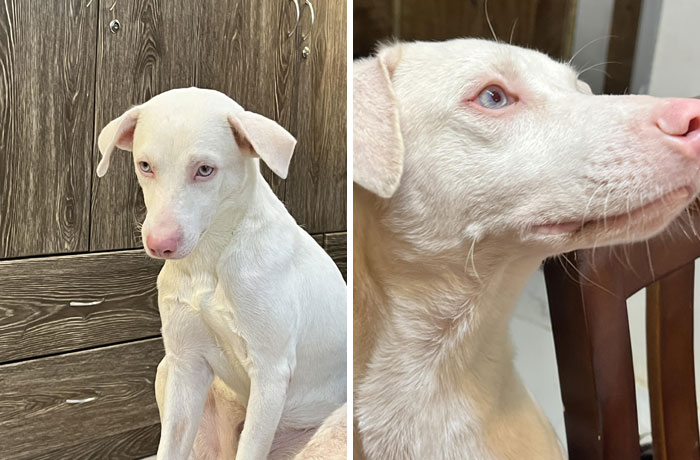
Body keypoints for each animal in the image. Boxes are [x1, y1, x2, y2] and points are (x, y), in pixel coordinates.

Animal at [97, 87, 348, 460]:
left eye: (205, 169)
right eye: (145, 166)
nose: (159, 244)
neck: (209, 260)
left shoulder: (270, 374)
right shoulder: (186, 365)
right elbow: (170, 446)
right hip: (168, 372)